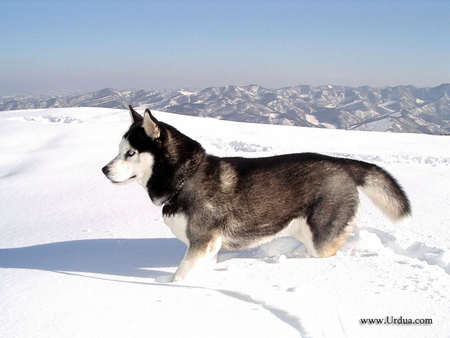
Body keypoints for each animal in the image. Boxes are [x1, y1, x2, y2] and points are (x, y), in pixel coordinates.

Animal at [102, 107, 412, 282]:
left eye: (131, 153)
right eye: (119, 150)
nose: (104, 170)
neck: (185, 178)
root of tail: (342, 163)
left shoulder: (202, 243)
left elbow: (180, 276)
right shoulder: (209, 249)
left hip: (320, 238)